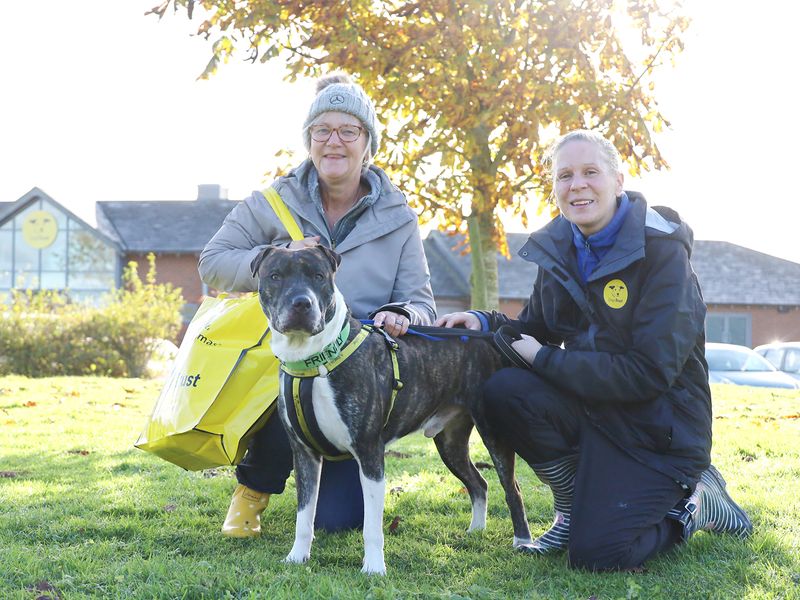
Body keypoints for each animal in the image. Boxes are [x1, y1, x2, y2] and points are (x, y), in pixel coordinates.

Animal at [252, 246, 532, 576]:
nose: (301, 302)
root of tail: (487, 339)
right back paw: (476, 531)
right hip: (450, 442)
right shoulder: (305, 454)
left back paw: (523, 541)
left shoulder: (370, 453)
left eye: (319, 276)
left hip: (492, 434)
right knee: (479, 483)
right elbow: (304, 515)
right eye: (275, 276)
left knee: (511, 488)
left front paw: (374, 568)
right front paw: (297, 557)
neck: (314, 359)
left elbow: (372, 526)